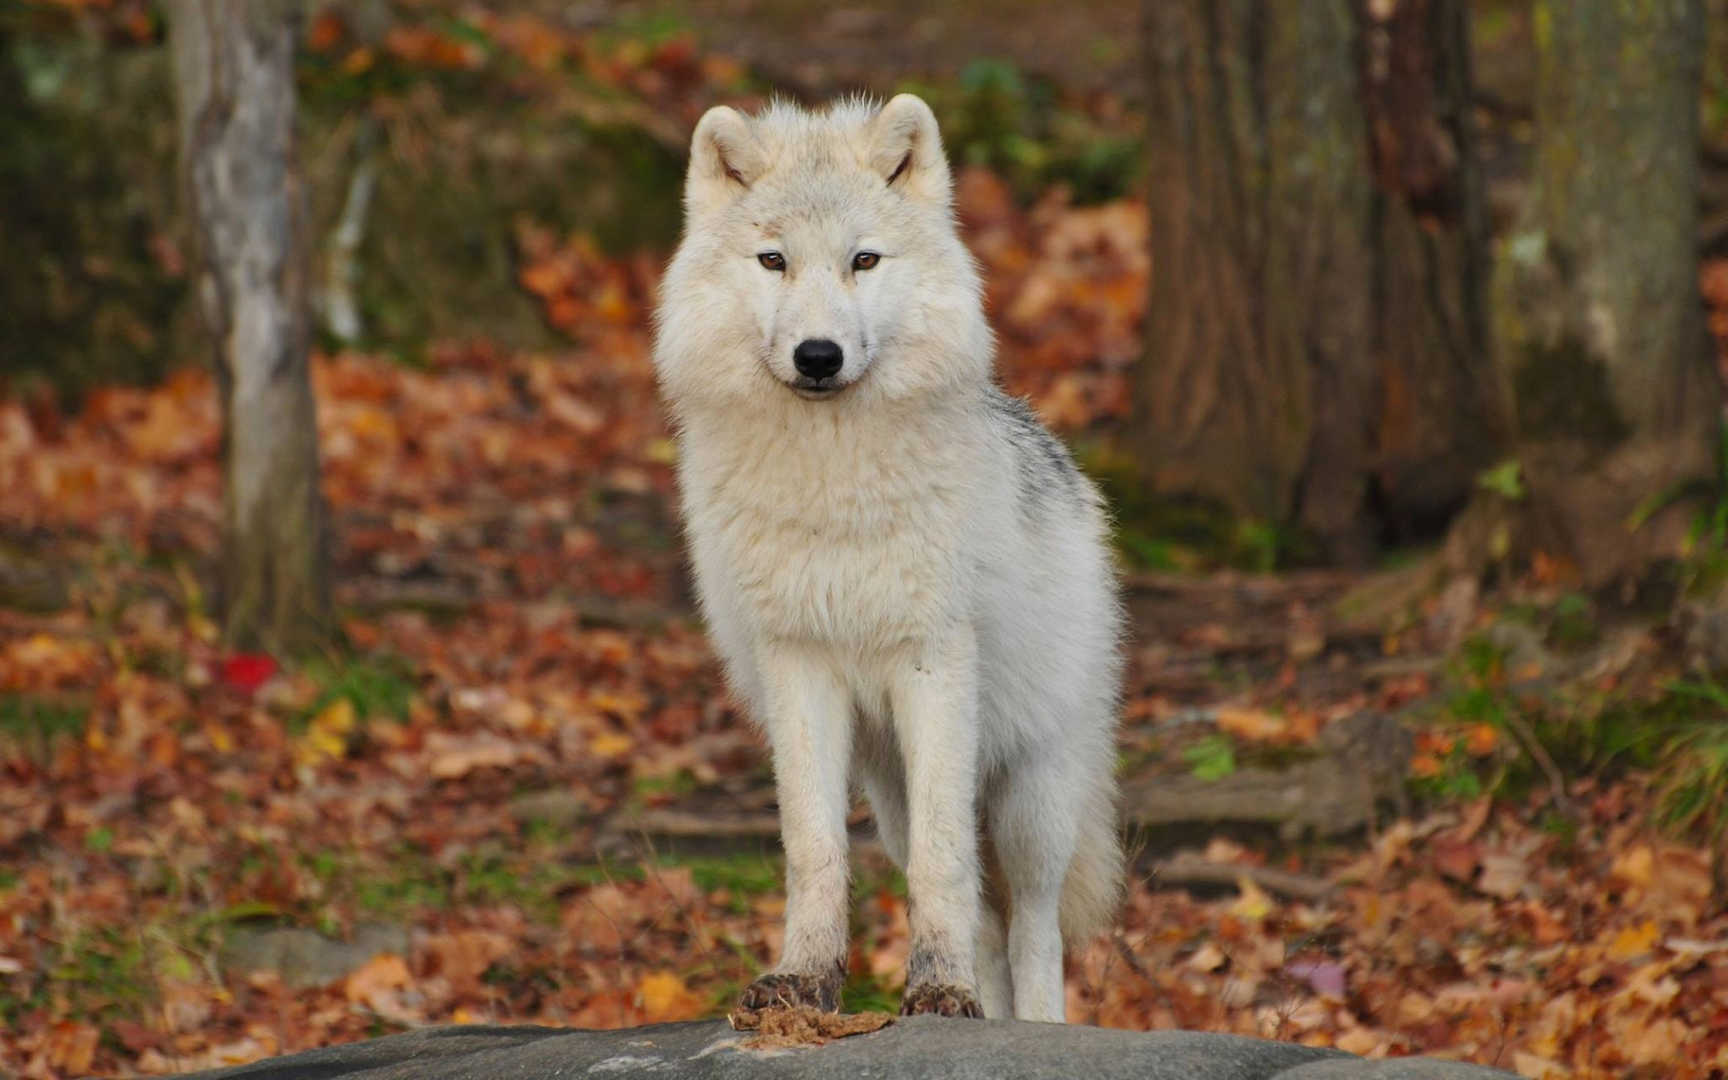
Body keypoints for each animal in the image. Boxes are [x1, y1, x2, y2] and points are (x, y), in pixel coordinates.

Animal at [649, 92, 1119, 1016]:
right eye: (773, 261)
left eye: (863, 260)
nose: (818, 356)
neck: (832, 489)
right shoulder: (798, 663)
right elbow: (814, 849)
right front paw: (805, 978)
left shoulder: (931, 661)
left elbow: (944, 863)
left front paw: (936, 988)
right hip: (890, 790)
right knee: (988, 925)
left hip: (1030, 795)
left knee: (1034, 924)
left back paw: (1034, 1022)